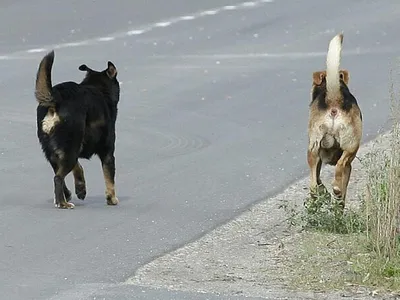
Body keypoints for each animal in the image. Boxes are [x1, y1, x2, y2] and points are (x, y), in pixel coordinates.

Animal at [34, 49, 120, 209]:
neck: (99, 89)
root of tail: (56, 101)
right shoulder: (108, 151)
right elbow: (109, 178)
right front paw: (111, 199)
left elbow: (78, 167)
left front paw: (80, 188)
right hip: (71, 147)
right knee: (58, 177)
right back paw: (63, 203)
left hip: (53, 152)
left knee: (58, 172)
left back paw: (65, 196)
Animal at [306, 32, 362, 210]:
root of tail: (334, 99)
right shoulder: (349, 166)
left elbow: (317, 179)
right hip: (350, 147)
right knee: (340, 167)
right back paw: (336, 189)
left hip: (313, 148)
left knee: (313, 184)